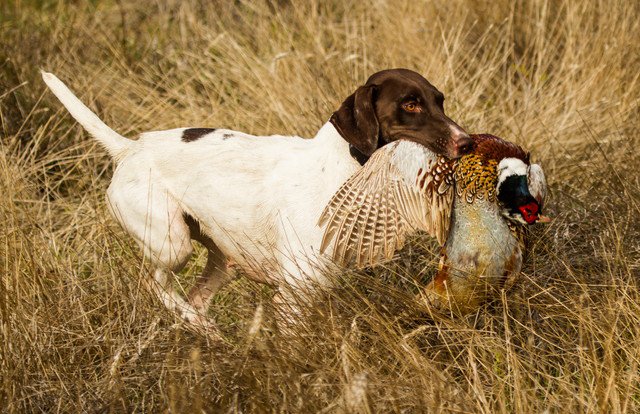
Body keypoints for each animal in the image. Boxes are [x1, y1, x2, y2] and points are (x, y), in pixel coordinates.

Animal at [42, 68, 472, 326]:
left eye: (440, 100)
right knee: (156, 283)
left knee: (196, 297)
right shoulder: (293, 295)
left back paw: (205, 331)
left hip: (223, 258)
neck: (344, 171)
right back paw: (193, 321)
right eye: (410, 104)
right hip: (172, 244)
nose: (467, 142)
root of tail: (130, 148)